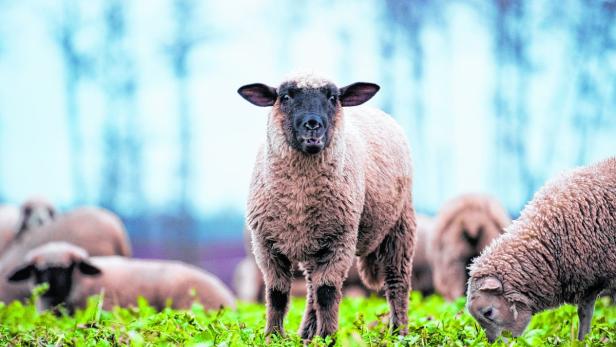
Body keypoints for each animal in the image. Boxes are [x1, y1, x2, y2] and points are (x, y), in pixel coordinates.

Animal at [238, 72, 416, 342]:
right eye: (285, 97)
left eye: (333, 98)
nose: (313, 124)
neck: (298, 198)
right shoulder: (265, 243)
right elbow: (277, 293)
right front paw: (274, 336)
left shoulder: (339, 240)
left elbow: (327, 292)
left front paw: (328, 338)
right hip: (313, 242)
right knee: (311, 288)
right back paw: (306, 334)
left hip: (400, 224)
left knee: (397, 282)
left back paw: (399, 334)